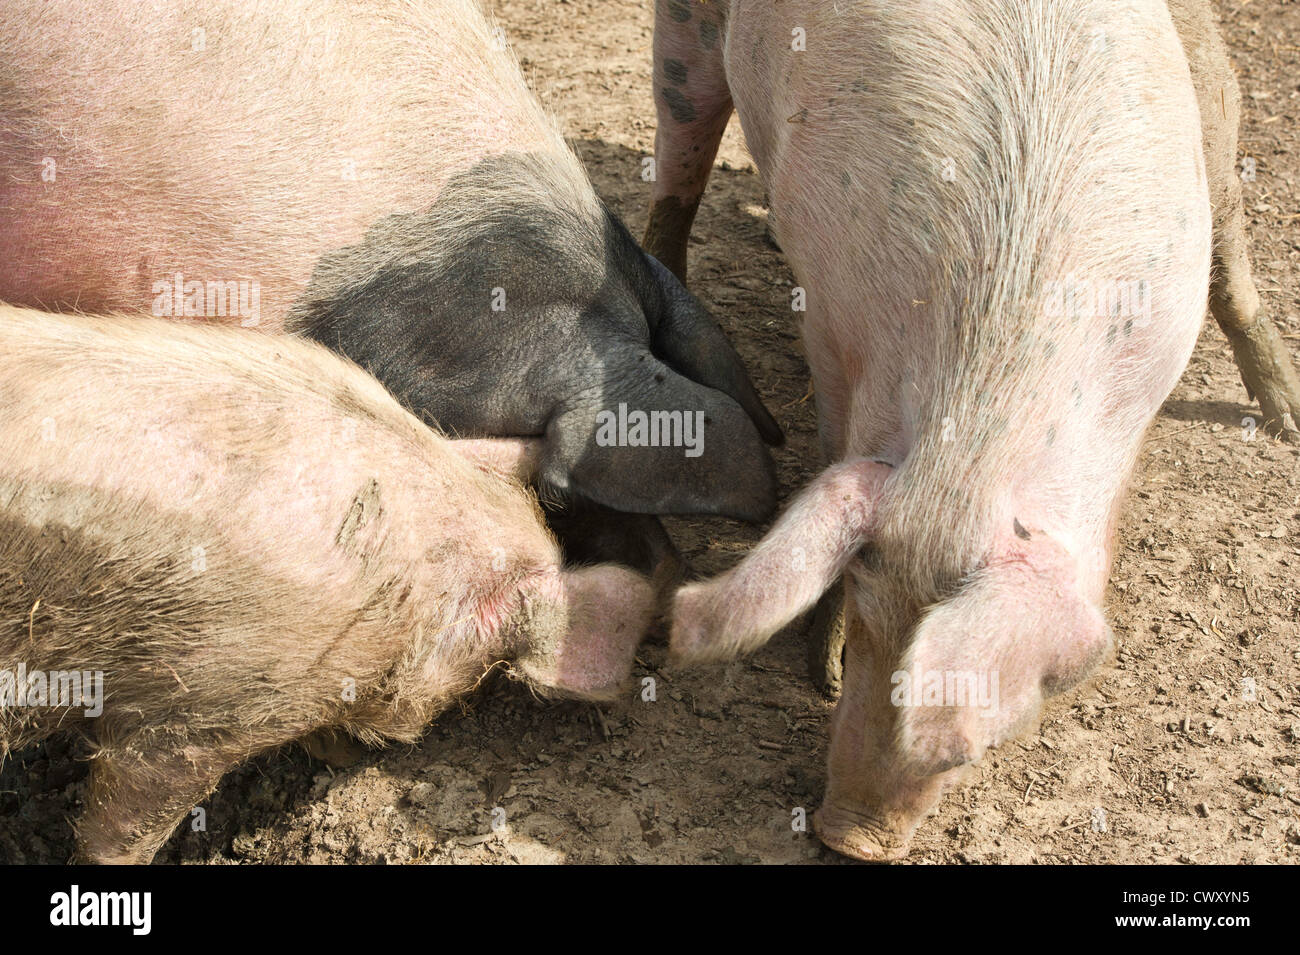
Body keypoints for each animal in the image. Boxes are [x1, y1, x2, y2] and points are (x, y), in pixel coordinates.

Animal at [646, 0, 1215, 859]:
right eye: (866, 611)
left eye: (975, 747)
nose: (850, 838)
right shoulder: (832, 334)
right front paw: (824, 667)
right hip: (684, 39)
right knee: (679, 159)